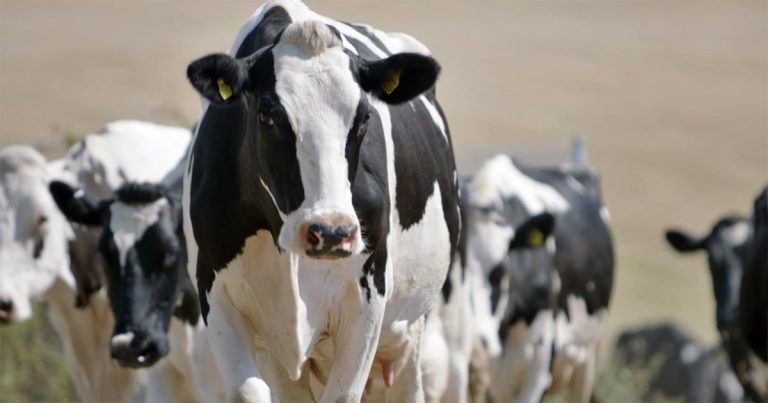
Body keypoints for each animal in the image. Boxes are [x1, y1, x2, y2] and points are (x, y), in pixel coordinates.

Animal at [183, 0, 460, 401]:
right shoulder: (216, 295)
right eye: (268, 116)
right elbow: (248, 391)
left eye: (364, 117)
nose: (331, 232)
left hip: (407, 333)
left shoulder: (367, 299)